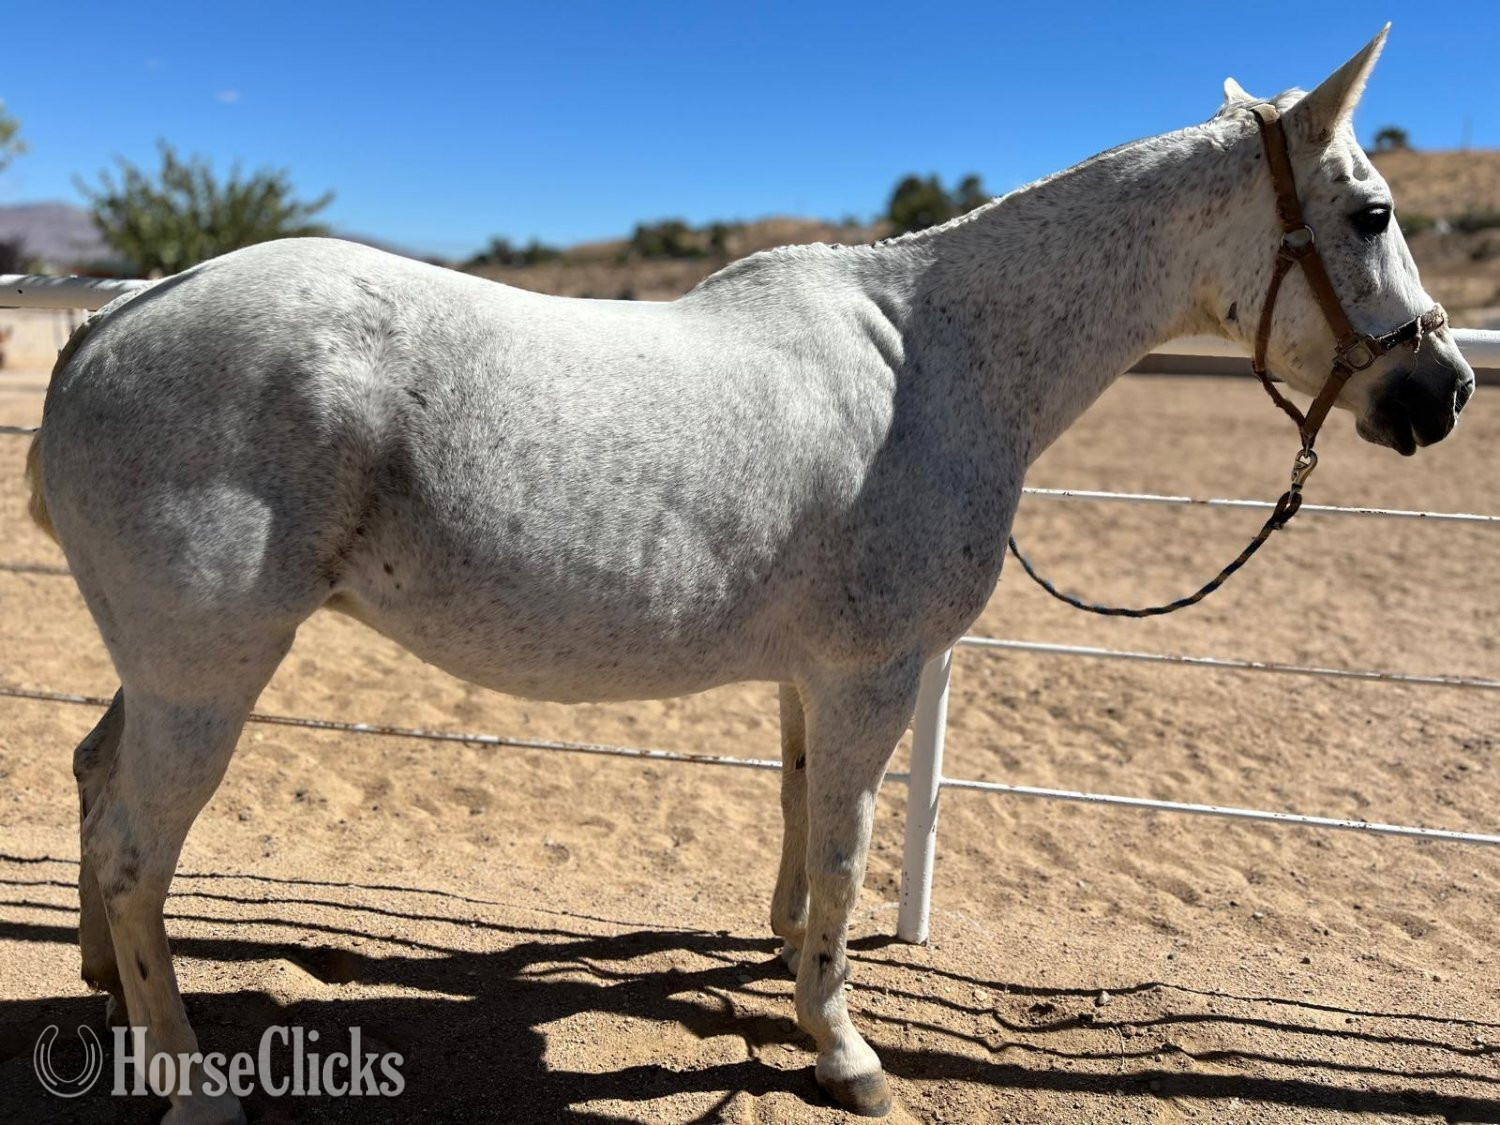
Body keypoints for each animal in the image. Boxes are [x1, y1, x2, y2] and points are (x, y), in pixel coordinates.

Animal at [24, 27, 1473, 1122]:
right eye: (1372, 212)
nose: (1444, 392)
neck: (932, 363)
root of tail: (116, 315)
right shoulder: (874, 674)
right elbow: (844, 852)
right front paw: (845, 1050)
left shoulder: (810, 678)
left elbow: (798, 825)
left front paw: (784, 971)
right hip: (209, 675)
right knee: (139, 853)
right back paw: (190, 1080)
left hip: (170, 668)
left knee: (97, 789)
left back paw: (106, 998)